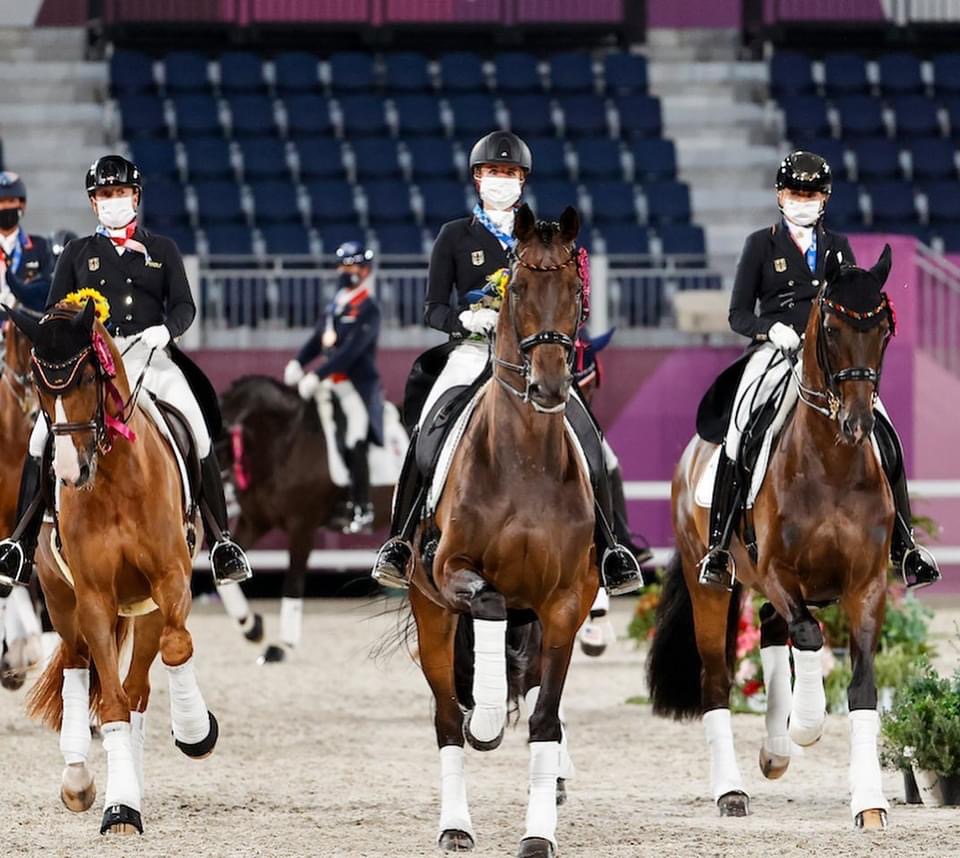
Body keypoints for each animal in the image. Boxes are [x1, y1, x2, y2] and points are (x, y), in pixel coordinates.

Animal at [7, 300, 219, 836]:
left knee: (141, 682)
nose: (68, 471)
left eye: (86, 377)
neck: (115, 477)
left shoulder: (169, 580)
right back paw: (79, 779)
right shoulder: (95, 598)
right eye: (40, 383)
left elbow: (175, 648)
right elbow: (112, 702)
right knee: (78, 666)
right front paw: (119, 807)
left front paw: (195, 732)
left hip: (145, 608)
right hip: (62, 599)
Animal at [218, 376, 394, 662]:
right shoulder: (254, 521)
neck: (284, 442)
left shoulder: (303, 525)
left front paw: (282, 646)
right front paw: (252, 627)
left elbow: (293, 580)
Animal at [407, 205, 596, 857]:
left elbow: (545, 720)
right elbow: (486, 601)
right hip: (430, 612)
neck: (525, 461)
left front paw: (538, 835)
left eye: (576, 294)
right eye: (514, 293)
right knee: (443, 719)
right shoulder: (451, 570)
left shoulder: (564, 603)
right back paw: (455, 824)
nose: (548, 388)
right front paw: (486, 716)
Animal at [647, 246, 897, 829]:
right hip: (712, 583)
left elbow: (862, 686)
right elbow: (808, 637)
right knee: (719, 678)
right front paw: (807, 726)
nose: (856, 423)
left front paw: (869, 802)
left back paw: (775, 753)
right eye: (831, 329)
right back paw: (732, 790)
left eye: (884, 329)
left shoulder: (868, 585)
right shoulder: (778, 573)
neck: (831, 463)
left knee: (768, 628)